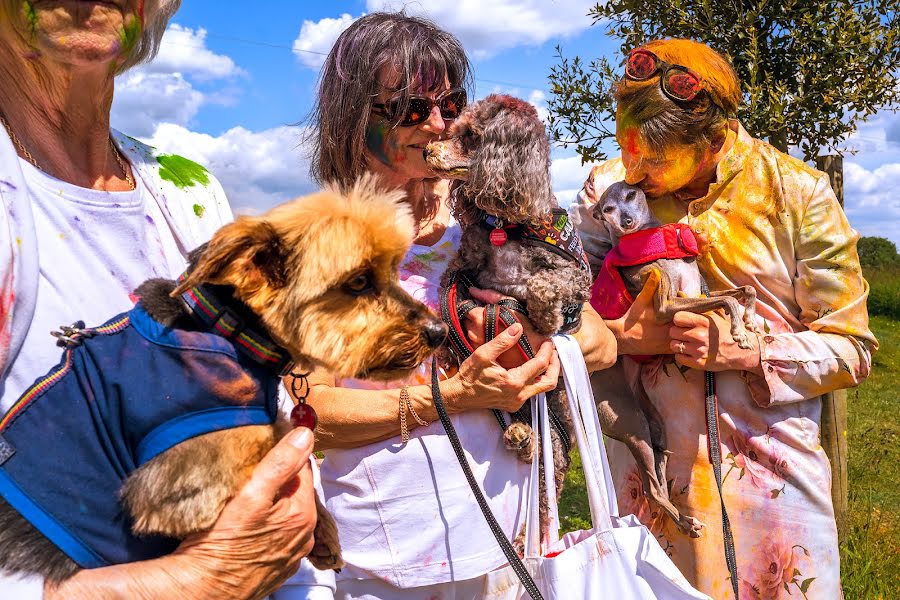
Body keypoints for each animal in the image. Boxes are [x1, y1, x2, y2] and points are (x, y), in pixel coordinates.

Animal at [588, 180, 756, 536]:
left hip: (654, 424)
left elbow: (743, 292)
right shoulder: (667, 306)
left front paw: (748, 319)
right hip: (630, 424)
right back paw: (685, 522)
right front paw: (739, 332)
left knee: (660, 478)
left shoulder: (697, 292)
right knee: (652, 489)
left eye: (630, 195)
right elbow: (727, 303)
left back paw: (681, 520)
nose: (626, 222)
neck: (658, 247)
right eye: (606, 209)